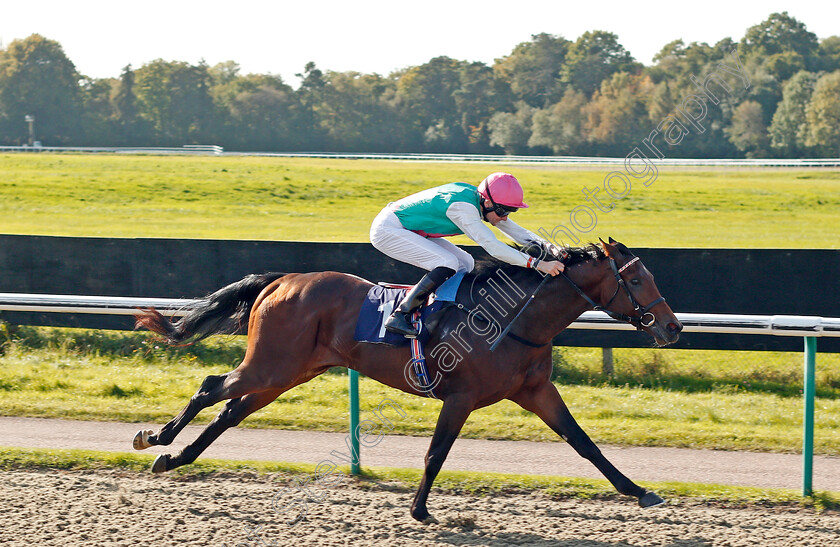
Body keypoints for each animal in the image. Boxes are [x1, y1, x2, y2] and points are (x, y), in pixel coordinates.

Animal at [133, 239, 684, 524]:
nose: (673, 327)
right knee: (211, 386)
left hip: (290, 371)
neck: (514, 319)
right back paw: (155, 438)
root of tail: (282, 279)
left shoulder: (536, 391)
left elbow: (584, 443)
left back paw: (175, 457)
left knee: (230, 409)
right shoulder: (460, 397)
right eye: (637, 280)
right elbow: (436, 453)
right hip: (272, 363)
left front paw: (639, 491)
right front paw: (419, 510)